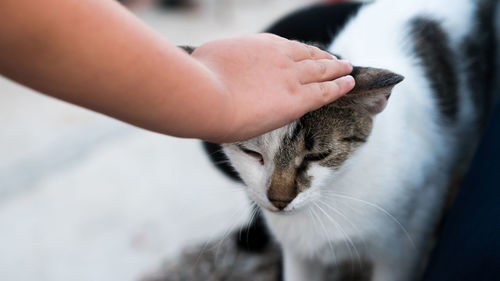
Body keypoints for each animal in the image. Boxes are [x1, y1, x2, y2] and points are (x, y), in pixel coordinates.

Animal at [188, 0, 500, 278]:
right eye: (252, 154)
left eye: (318, 155)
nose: (279, 201)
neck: (333, 192)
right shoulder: (299, 254)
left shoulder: (403, 246)